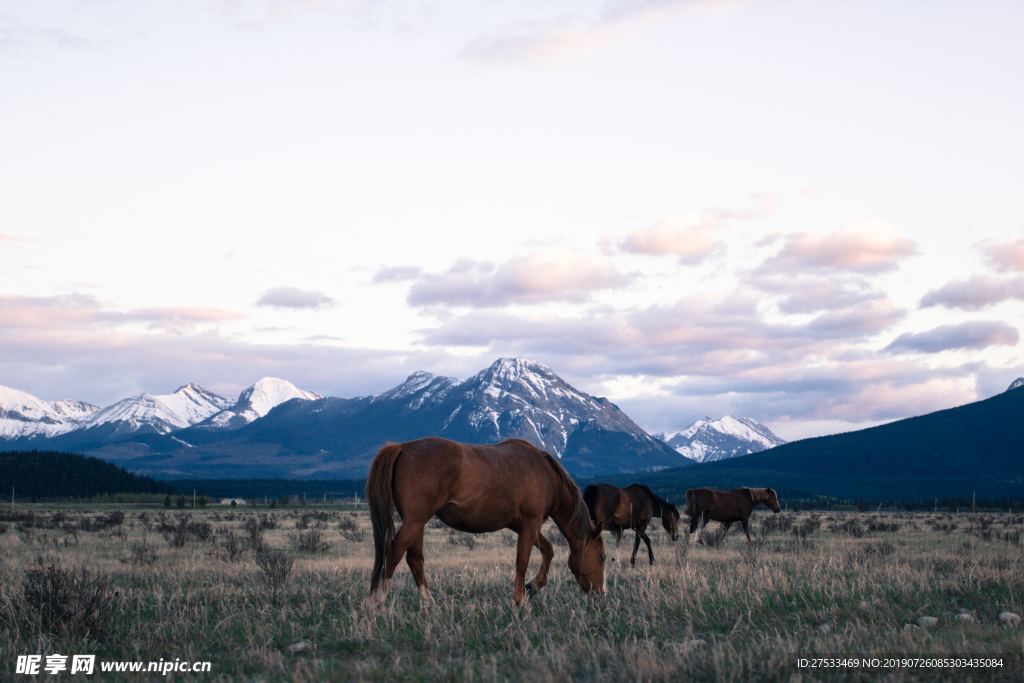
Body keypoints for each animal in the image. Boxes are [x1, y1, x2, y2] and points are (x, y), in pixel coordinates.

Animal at [364, 436, 602, 606]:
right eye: (602, 558)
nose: (601, 593)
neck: (545, 474)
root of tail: (402, 447)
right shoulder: (530, 524)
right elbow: (522, 561)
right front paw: (519, 600)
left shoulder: (523, 527)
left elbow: (548, 550)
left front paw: (532, 587)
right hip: (415, 521)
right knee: (395, 551)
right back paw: (377, 601)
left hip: (416, 523)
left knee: (414, 559)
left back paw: (429, 604)